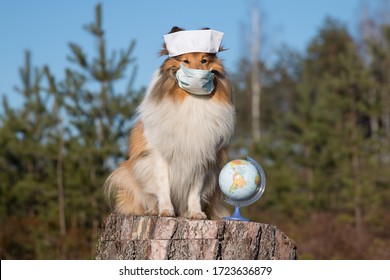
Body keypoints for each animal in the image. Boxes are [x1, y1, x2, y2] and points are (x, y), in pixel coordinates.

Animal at [103, 26, 236, 220]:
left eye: (204, 60)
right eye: (185, 61)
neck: (191, 99)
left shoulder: (201, 157)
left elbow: (195, 191)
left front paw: (196, 213)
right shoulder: (160, 155)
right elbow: (163, 185)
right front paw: (166, 211)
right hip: (129, 173)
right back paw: (153, 210)